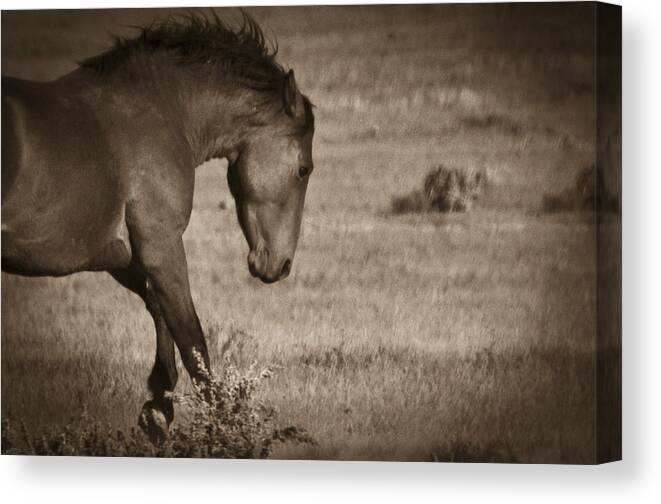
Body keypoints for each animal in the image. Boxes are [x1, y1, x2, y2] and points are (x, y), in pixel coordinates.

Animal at [0, 11, 314, 442]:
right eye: (304, 169)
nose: (280, 266)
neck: (163, 113)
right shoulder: (160, 242)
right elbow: (192, 338)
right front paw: (222, 429)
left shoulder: (122, 254)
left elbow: (159, 309)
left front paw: (159, 405)